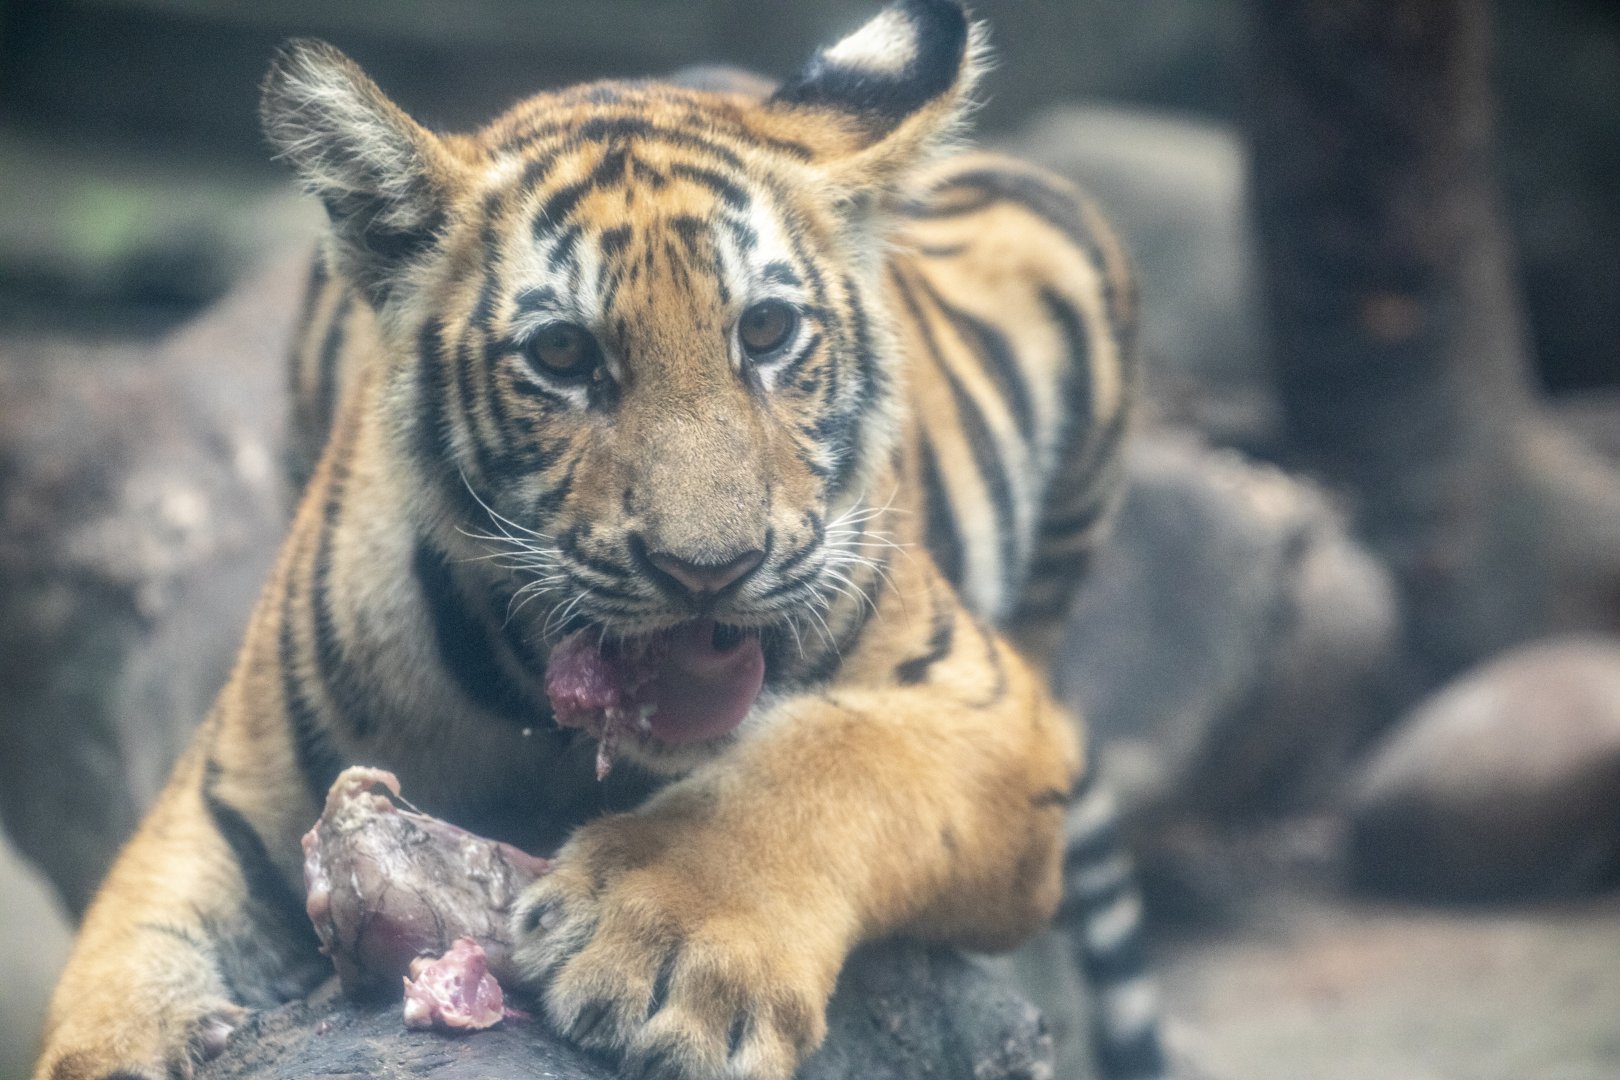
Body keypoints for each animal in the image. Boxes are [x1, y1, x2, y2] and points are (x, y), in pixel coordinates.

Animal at [35, 2, 1166, 1079]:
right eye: (565, 355)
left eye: (765, 333)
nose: (709, 571)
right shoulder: (221, 806)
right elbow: (113, 985)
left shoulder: (988, 707)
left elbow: (830, 763)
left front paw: (667, 945)